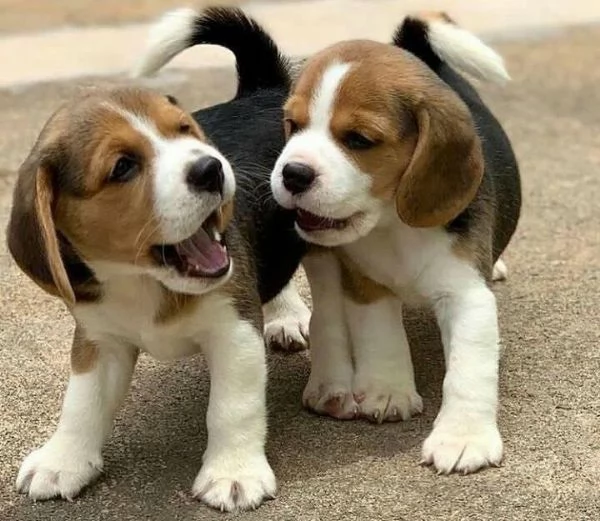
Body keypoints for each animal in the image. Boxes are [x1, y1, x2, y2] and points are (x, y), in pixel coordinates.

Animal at [8, 8, 310, 512]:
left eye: (184, 130)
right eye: (122, 167)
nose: (212, 167)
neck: (143, 279)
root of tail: (259, 92)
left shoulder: (234, 329)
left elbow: (232, 408)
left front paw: (233, 473)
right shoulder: (99, 338)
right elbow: (81, 403)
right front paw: (62, 460)